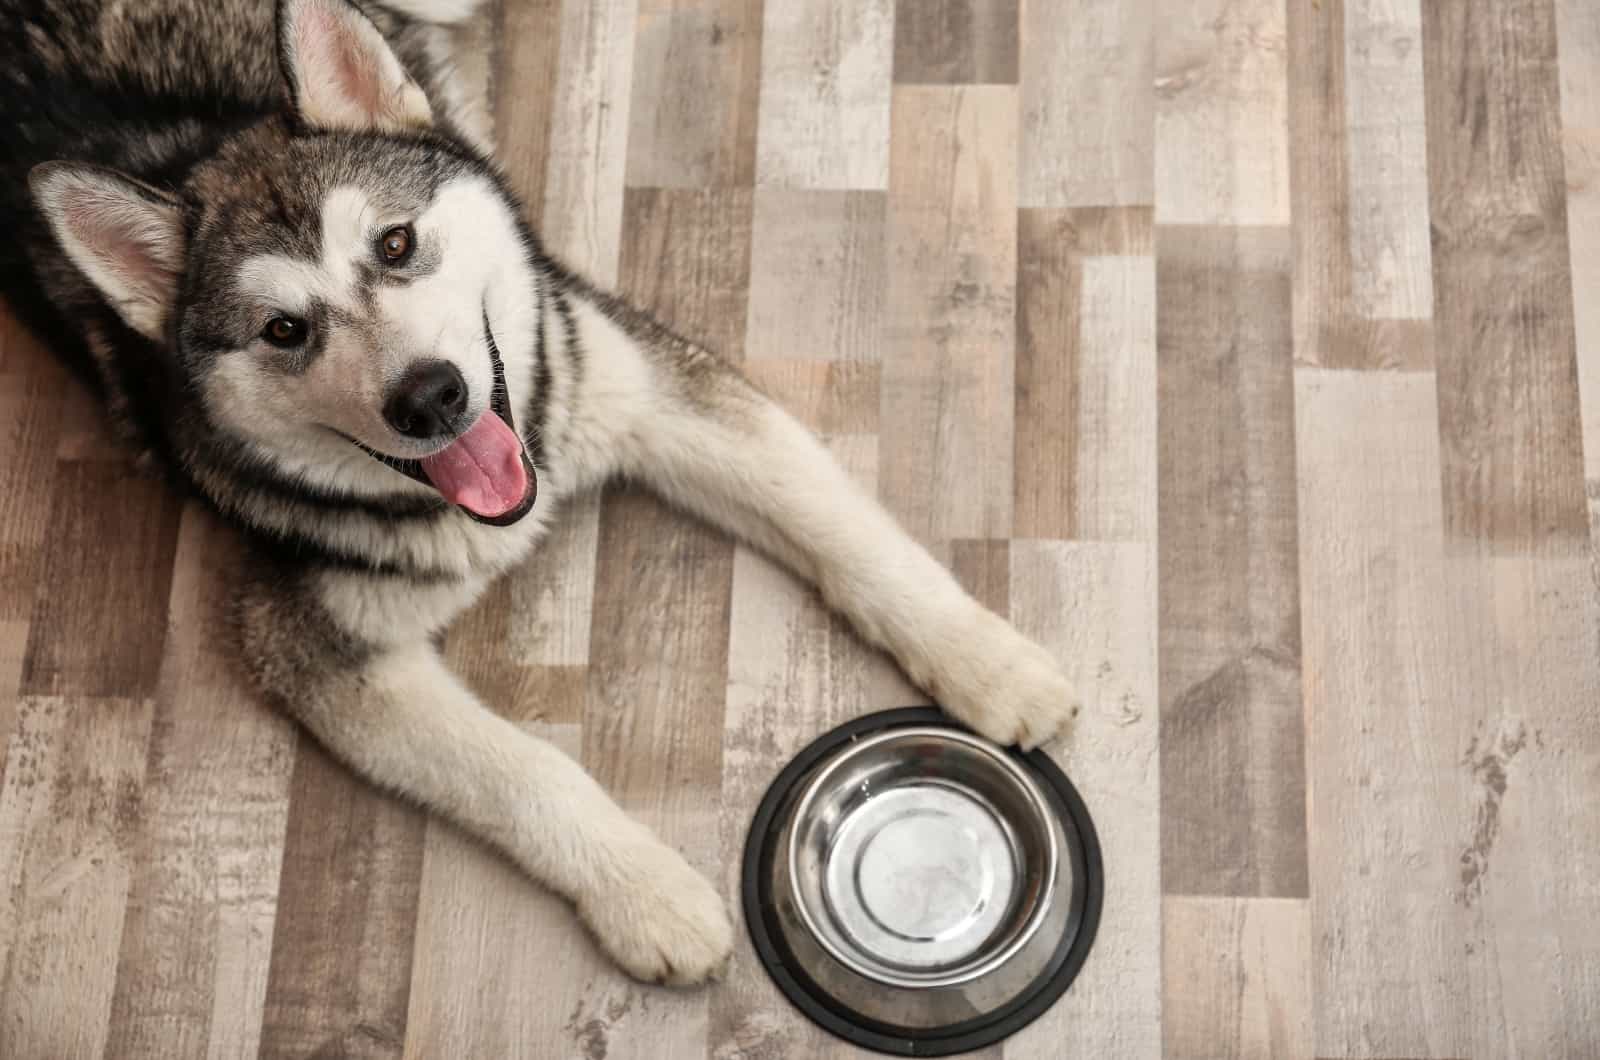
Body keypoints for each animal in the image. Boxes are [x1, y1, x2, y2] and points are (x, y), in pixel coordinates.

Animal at [0, 0, 1081, 986]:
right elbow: (523, 770)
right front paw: (643, 890)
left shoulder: (660, 393)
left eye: (395, 246)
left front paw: (986, 661)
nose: (430, 396)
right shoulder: (311, 643)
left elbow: (853, 539)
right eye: (283, 332)